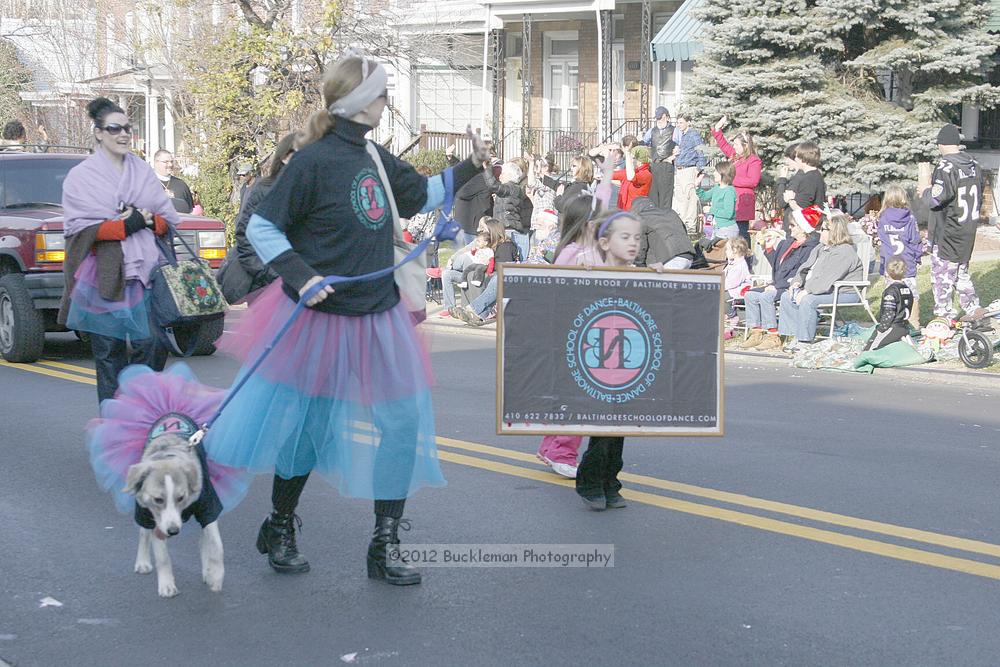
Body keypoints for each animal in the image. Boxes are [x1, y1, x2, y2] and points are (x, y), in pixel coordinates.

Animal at [87, 366, 250, 600]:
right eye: (158, 499)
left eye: (181, 497)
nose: (173, 531)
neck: (169, 454)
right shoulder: (153, 515)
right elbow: (162, 554)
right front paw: (166, 585)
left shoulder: (208, 507)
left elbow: (216, 545)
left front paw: (216, 575)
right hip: (142, 512)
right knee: (143, 534)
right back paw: (143, 562)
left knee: (203, 540)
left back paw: (206, 569)